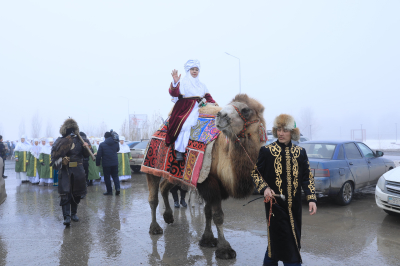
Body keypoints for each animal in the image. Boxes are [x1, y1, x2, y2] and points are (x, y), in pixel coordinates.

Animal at [147, 94, 266, 260]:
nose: (221, 115)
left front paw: (208, 240)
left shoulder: (212, 185)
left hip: (176, 174)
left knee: (164, 187)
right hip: (152, 163)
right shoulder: (209, 182)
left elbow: (208, 212)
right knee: (153, 197)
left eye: (246, 110)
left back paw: (169, 217)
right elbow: (218, 215)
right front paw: (225, 249)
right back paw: (155, 228)